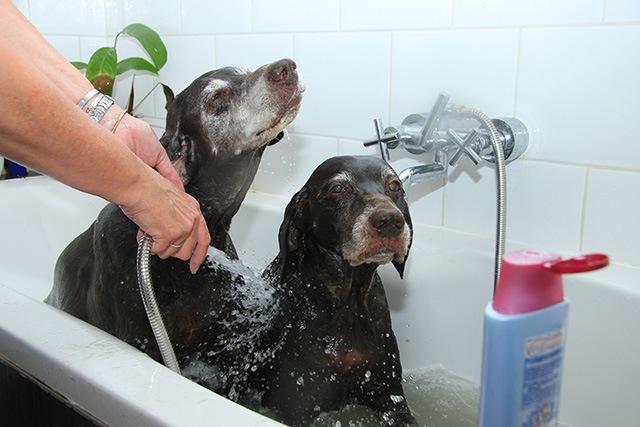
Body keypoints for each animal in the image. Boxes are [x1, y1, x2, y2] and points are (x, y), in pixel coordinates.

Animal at [260, 157, 416, 427]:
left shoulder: (393, 401)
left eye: (394, 185)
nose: (390, 221)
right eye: (338, 188)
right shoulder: (295, 407)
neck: (348, 305)